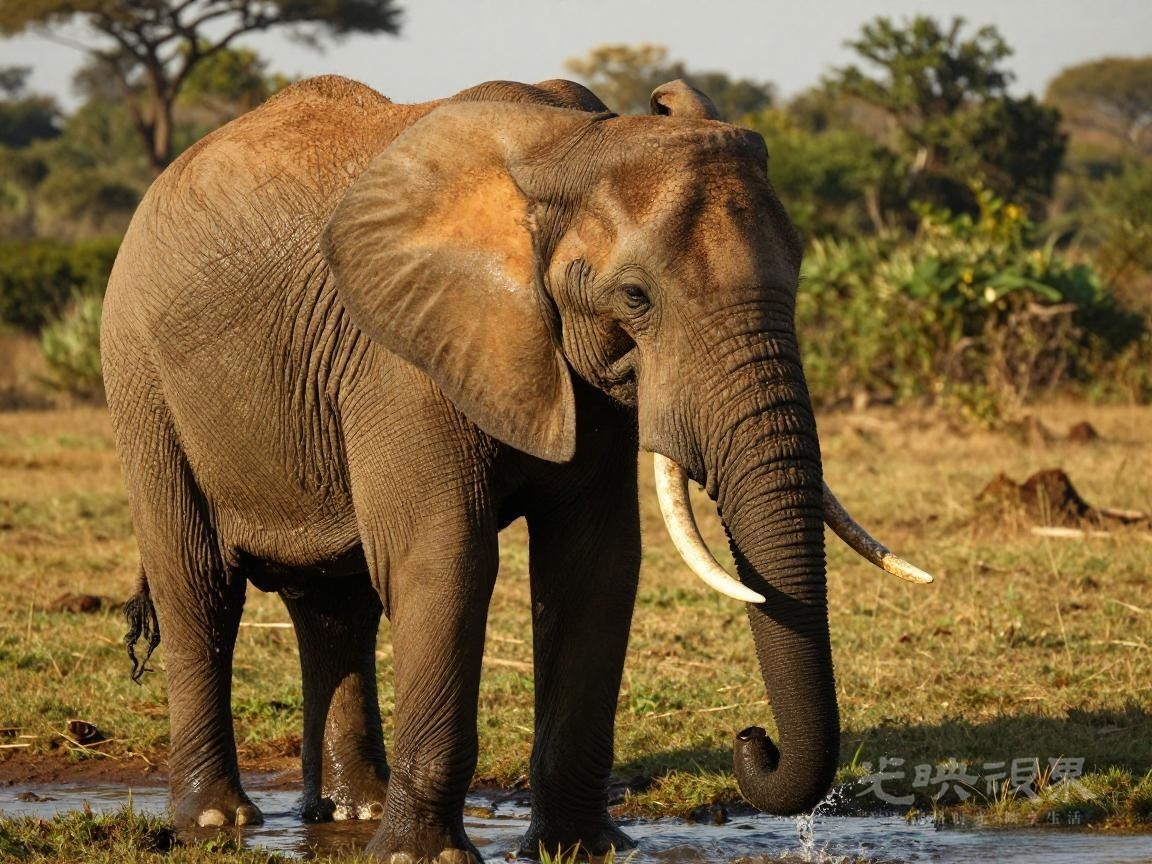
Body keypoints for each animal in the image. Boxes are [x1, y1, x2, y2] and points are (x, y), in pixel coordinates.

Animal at [102, 74, 929, 861]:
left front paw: (584, 848)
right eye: (636, 297)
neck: (568, 149)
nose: (753, 742)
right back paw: (217, 821)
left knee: (338, 602)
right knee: (199, 586)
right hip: (142, 380)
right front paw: (423, 857)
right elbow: (446, 561)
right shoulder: (402, 356)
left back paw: (353, 812)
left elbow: (595, 567)